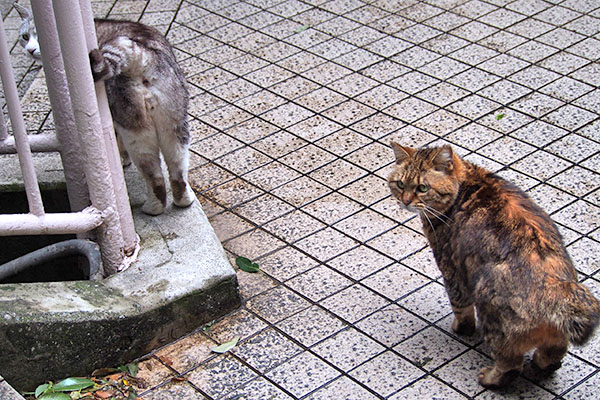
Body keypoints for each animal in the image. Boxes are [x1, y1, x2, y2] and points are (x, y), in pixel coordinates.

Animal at [15, 3, 195, 216]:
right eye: (25, 36)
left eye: (40, 37)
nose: (30, 49)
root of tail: (141, 54)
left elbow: (116, 141)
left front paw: (121, 159)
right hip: (174, 124)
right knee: (177, 169)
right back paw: (183, 200)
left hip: (135, 130)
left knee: (155, 177)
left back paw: (153, 208)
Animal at [386, 142, 596, 390]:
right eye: (400, 184)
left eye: (422, 188)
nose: (406, 200)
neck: (467, 183)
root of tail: (554, 286)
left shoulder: (451, 270)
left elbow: (461, 307)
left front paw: (461, 328)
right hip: (556, 334)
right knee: (553, 354)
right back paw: (541, 365)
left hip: (491, 313)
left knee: (511, 365)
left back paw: (491, 379)